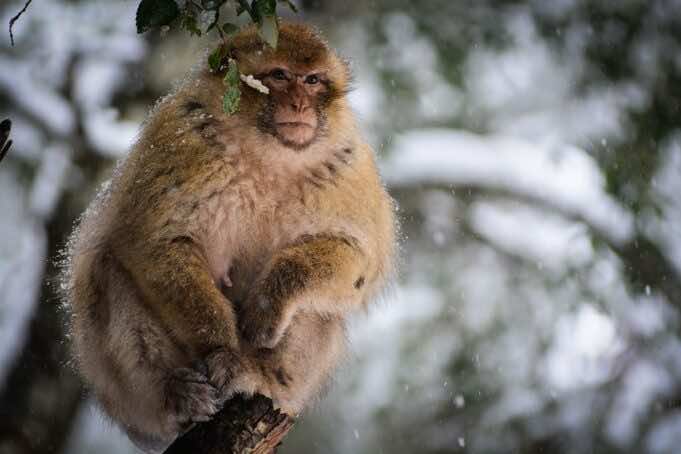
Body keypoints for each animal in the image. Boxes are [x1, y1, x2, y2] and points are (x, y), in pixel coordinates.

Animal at [63, 22, 396, 453]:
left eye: (312, 80)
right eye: (279, 76)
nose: (299, 105)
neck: (270, 157)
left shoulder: (350, 164)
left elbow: (357, 258)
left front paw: (270, 304)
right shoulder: (181, 137)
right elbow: (156, 243)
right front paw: (222, 349)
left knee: (322, 309)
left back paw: (263, 376)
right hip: (124, 394)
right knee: (107, 268)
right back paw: (175, 393)